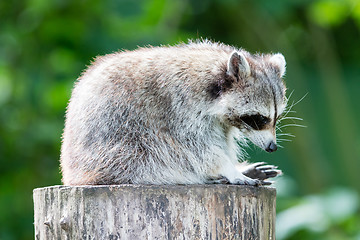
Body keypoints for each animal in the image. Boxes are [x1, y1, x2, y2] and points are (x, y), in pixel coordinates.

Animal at [60, 39, 288, 186]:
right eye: (259, 118)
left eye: (276, 118)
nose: (272, 147)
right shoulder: (179, 108)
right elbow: (196, 147)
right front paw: (227, 168)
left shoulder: (220, 122)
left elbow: (221, 141)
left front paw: (233, 165)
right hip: (116, 149)